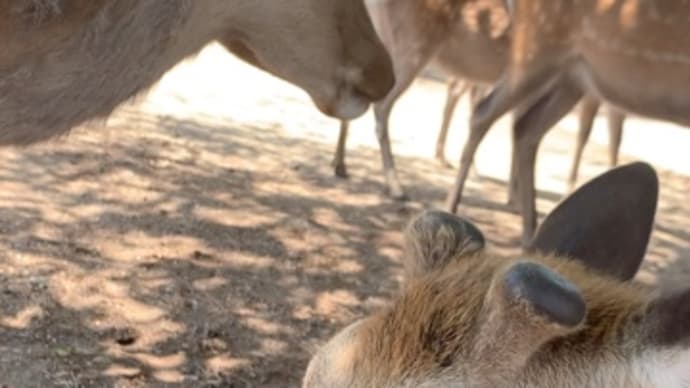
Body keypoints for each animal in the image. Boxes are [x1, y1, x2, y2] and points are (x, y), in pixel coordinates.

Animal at [444, 0, 688, 247]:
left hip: (571, 78)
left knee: (525, 127)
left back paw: (530, 237)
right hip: (536, 51)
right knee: (485, 112)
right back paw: (452, 209)